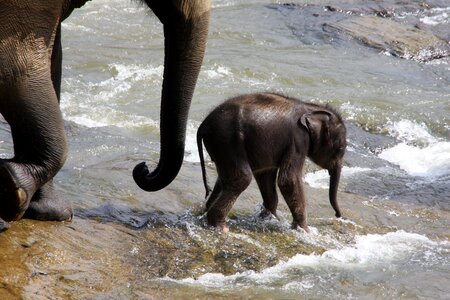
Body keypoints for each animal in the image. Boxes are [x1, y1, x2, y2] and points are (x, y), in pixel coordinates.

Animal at [195, 92, 346, 233]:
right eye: (340, 149)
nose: (338, 215)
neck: (311, 108)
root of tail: (203, 124)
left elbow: (265, 175)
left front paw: (270, 219)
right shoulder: (298, 140)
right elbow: (288, 180)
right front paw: (305, 230)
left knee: (223, 179)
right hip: (227, 141)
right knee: (242, 178)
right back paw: (220, 227)